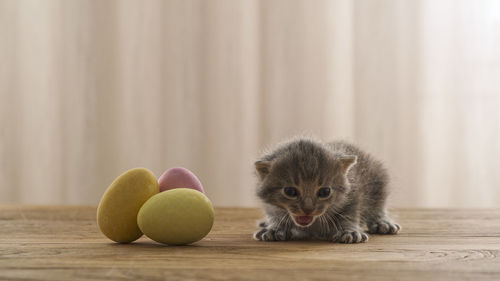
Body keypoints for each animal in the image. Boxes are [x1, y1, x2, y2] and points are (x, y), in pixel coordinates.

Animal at [252, 137, 400, 242]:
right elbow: (276, 215)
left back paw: (382, 221)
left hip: (378, 180)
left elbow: (349, 215)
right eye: (290, 192)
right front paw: (275, 228)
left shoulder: (353, 194)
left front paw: (349, 231)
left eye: (324, 192)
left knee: (378, 206)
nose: (308, 209)